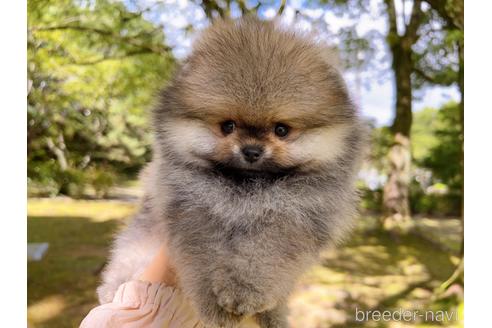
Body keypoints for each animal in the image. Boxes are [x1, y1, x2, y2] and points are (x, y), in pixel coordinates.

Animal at [95, 18, 366, 328]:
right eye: (228, 126)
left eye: (281, 130)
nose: (251, 150)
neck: (246, 191)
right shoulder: (191, 209)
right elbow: (203, 259)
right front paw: (215, 308)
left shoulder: (295, 218)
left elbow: (266, 256)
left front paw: (245, 292)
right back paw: (113, 287)